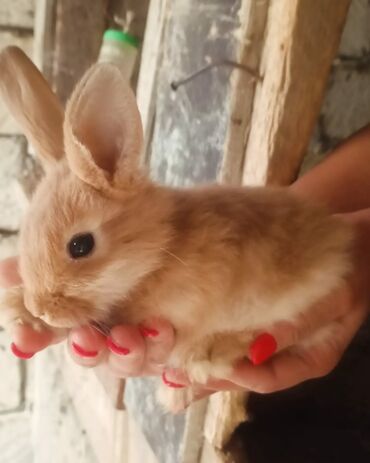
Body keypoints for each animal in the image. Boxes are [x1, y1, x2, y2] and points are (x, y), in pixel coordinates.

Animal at [0, 46, 352, 410]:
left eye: (80, 245)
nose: (42, 308)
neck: (161, 249)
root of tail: (336, 242)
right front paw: (18, 311)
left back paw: (198, 364)